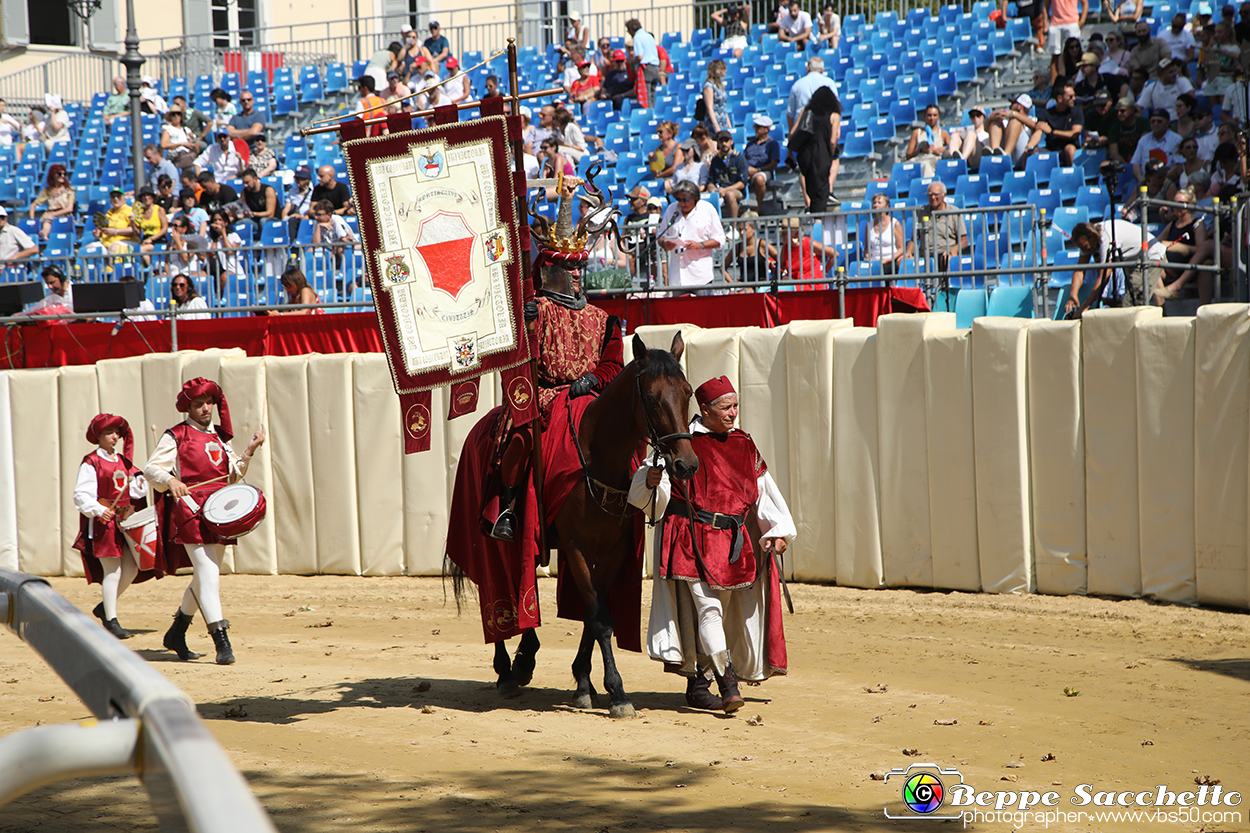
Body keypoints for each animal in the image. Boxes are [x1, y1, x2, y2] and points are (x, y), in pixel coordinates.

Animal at [452, 330, 705, 715]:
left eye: (687, 392)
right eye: (650, 398)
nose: (686, 465)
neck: (599, 455)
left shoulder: (613, 551)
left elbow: (592, 612)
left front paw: (584, 683)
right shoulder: (576, 547)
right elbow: (599, 617)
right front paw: (617, 692)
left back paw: (525, 659)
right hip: (492, 542)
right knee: (499, 589)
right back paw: (506, 670)